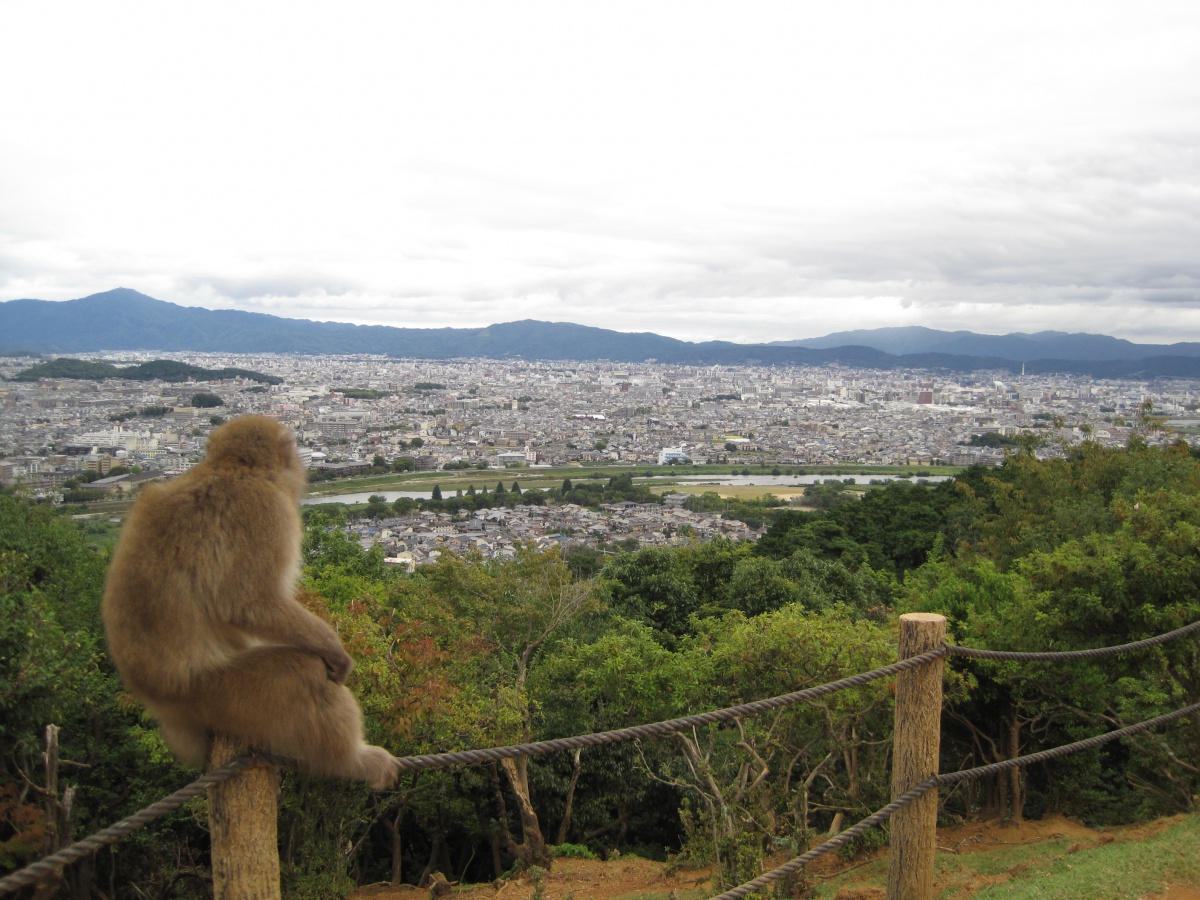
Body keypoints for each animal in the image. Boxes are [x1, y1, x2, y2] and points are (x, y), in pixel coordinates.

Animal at [102, 414, 400, 789]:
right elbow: (249, 603)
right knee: (302, 674)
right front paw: (335, 651)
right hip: (223, 693)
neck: (228, 469)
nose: (300, 466)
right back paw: (352, 761)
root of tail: (154, 698)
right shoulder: (267, 509)